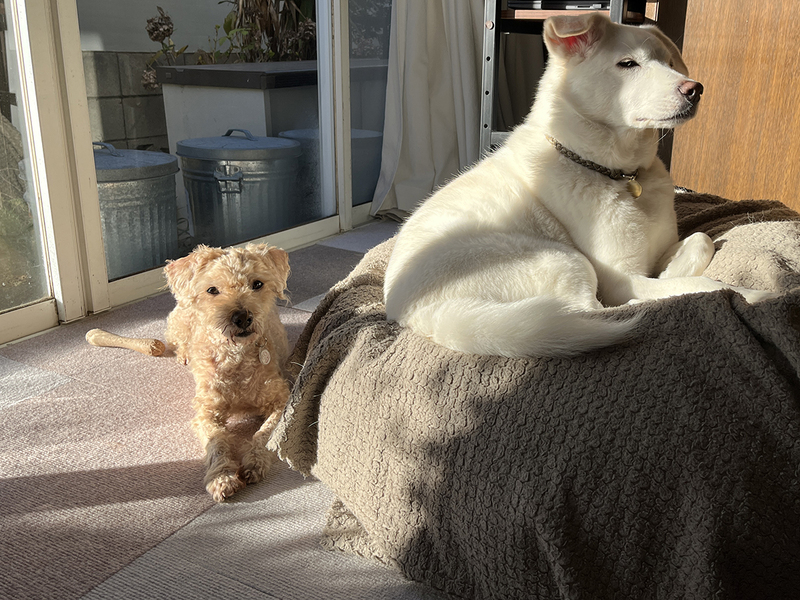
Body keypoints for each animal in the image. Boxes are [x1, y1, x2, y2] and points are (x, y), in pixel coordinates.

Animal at [164, 243, 291, 502]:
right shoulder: (206, 412)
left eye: (257, 284)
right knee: (176, 341)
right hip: (178, 323)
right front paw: (222, 477)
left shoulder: (281, 399)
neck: (236, 357)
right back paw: (184, 354)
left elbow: (265, 434)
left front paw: (255, 462)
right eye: (212, 289)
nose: (241, 317)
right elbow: (217, 441)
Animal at [383, 12, 774, 358]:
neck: (618, 173)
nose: (696, 89)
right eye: (628, 64)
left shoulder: (660, 249)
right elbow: (698, 286)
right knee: (589, 311)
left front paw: (673, 270)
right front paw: (756, 295)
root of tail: (412, 313)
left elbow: (700, 240)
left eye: (669, 62)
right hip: (562, 259)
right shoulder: (621, 278)